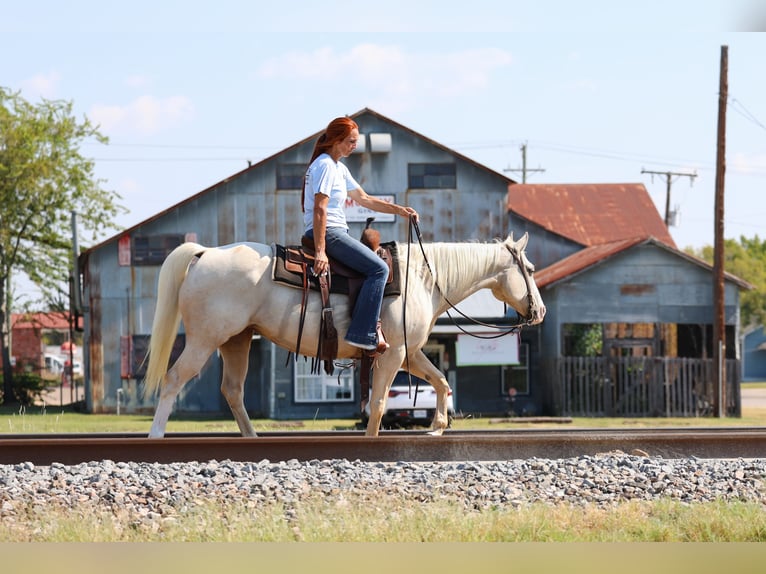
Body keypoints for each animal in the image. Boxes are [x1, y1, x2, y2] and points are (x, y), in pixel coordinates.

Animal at [143, 232, 546, 438]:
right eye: (528, 267)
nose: (539, 312)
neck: (422, 278)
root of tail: (204, 252)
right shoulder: (392, 355)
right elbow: (379, 405)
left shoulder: (409, 353)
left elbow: (441, 380)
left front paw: (437, 427)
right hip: (204, 340)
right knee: (174, 380)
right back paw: (156, 438)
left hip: (236, 341)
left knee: (232, 391)